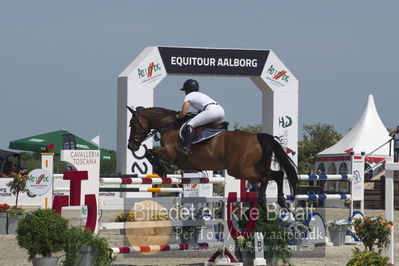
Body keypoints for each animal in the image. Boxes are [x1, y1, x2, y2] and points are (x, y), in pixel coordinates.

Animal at [126, 106, 298, 208]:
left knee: (265, 177)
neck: (168, 125)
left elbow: (149, 152)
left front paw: (160, 170)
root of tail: (257, 136)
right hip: (257, 166)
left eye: (132, 123)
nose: (131, 146)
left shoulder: (170, 153)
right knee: (277, 175)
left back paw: (264, 199)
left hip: (239, 170)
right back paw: (278, 200)